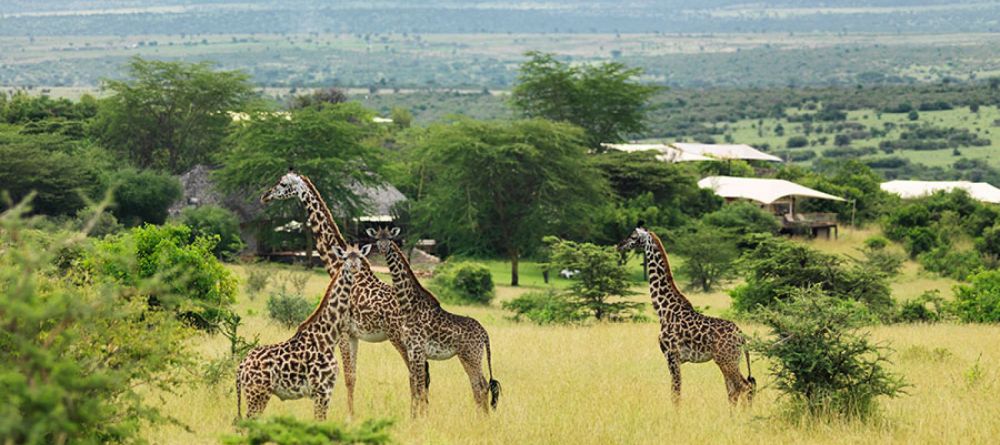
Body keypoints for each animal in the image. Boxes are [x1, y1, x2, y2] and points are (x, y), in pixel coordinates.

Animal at [236, 243, 374, 420]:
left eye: (360, 257)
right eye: (344, 258)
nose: (355, 268)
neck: (328, 338)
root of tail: (241, 366)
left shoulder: (324, 392)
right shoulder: (322, 391)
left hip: (255, 394)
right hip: (258, 394)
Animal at [264, 170, 412, 416]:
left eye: (283, 184)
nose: (265, 196)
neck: (336, 264)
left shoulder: (342, 333)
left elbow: (348, 377)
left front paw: (349, 417)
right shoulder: (353, 335)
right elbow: (354, 376)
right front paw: (352, 414)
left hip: (398, 335)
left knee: (418, 371)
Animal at [370, 225, 504, 416]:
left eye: (389, 238)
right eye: (376, 239)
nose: (382, 249)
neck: (408, 305)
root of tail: (485, 334)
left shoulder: (417, 350)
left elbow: (419, 386)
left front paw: (421, 417)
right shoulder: (412, 351)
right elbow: (415, 384)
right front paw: (415, 416)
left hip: (472, 356)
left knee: (482, 386)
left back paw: (482, 418)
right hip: (466, 357)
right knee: (478, 385)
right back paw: (481, 417)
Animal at [612, 224, 752, 404]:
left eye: (633, 236)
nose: (619, 245)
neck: (664, 310)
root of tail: (741, 336)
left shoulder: (672, 356)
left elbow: (675, 395)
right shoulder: (675, 358)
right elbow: (676, 393)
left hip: (726, 360)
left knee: (744, 387)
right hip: (731, 360)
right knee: (734, 391)